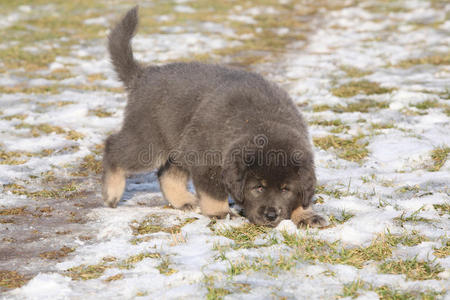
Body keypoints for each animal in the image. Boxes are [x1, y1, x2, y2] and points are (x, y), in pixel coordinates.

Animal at [102, 7, 326, 227]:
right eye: (258, 187)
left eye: (285, 189)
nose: (271, 215)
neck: (263, 122)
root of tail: (142, 76)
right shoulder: (206, 160)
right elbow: (214, 191)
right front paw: (221, 213)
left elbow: (303, 196)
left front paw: (306, 215)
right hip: (151, 141)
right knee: (114, 148)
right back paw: (112, 193)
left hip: (179, 144)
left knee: (167, 174)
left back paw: (183, 201)